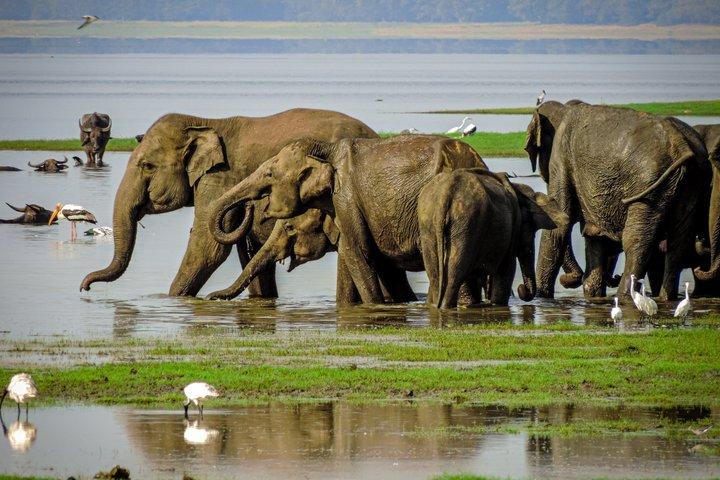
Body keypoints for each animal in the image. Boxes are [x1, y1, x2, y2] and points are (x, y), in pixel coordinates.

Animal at [80, 108, 378, 297]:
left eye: (147, 166)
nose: (85, 288)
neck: (204, 122)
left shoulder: (221, 176)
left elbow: (208, 246)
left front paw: (173, 300)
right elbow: (247, 251)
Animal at [208, 134, 487, 305]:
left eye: (269, 173)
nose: (210, 297)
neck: (325, 149)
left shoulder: (347, 198)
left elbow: (358, 254)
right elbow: (364, 260)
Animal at [418, 169, 567, 308]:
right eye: (531, 230)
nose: (521, 289)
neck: (519, 189)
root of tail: (446, 192)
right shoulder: (513, 226)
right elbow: (506, 269)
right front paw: (497, 304)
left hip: (429, 225)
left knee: (435, 275)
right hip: (467, 223)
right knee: (455, 274)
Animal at [525, 101, 711, 300]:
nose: (568, 280)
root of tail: (682, 145)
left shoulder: (561, 157)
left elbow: (559, 227)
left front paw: (541, 298)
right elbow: (595, 236)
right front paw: (593, 295)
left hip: (650, 184)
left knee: (636, 241)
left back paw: (625, 296)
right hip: (691, 181)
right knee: (678, 243)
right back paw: (665, 298)